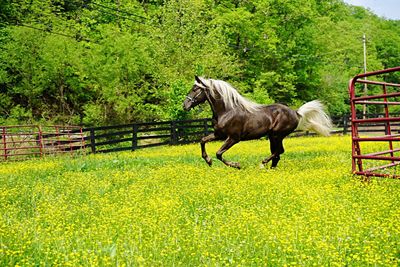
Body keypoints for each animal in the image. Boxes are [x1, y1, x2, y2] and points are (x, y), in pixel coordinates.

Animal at [183, 76, 332, 170]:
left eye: (195, 89)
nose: (185, 105)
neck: (226, 111)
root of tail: (296, 112)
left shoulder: (233, 138)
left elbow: (219, 153)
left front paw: (237, 165)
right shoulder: (219, 135)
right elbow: (202, 140)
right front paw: (208, 161)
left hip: (277, 135)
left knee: (278, 151)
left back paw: (262, 164)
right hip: (273, 137)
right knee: (277, 154)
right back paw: (270, 169)